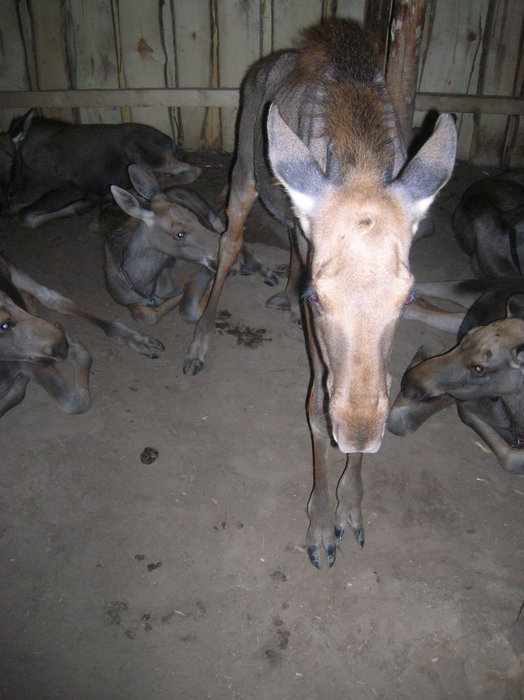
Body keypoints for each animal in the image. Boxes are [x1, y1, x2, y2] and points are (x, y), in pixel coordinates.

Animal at [0, 110, 202, 227]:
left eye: (10, 158)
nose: (7, 198)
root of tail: (171, 142)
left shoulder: (73, 187)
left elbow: (28, 217)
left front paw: (84, 204)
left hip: (148, 157)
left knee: (191, 170)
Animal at [182, 19, 456, 568]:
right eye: (318, 299)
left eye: (408, 298)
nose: (358, 434)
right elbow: (314, 405)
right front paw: (322, 524)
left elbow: (376, 388)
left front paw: (352, 504)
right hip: (244, 175)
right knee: (228, 244)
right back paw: (201, 341)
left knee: (288, 233)